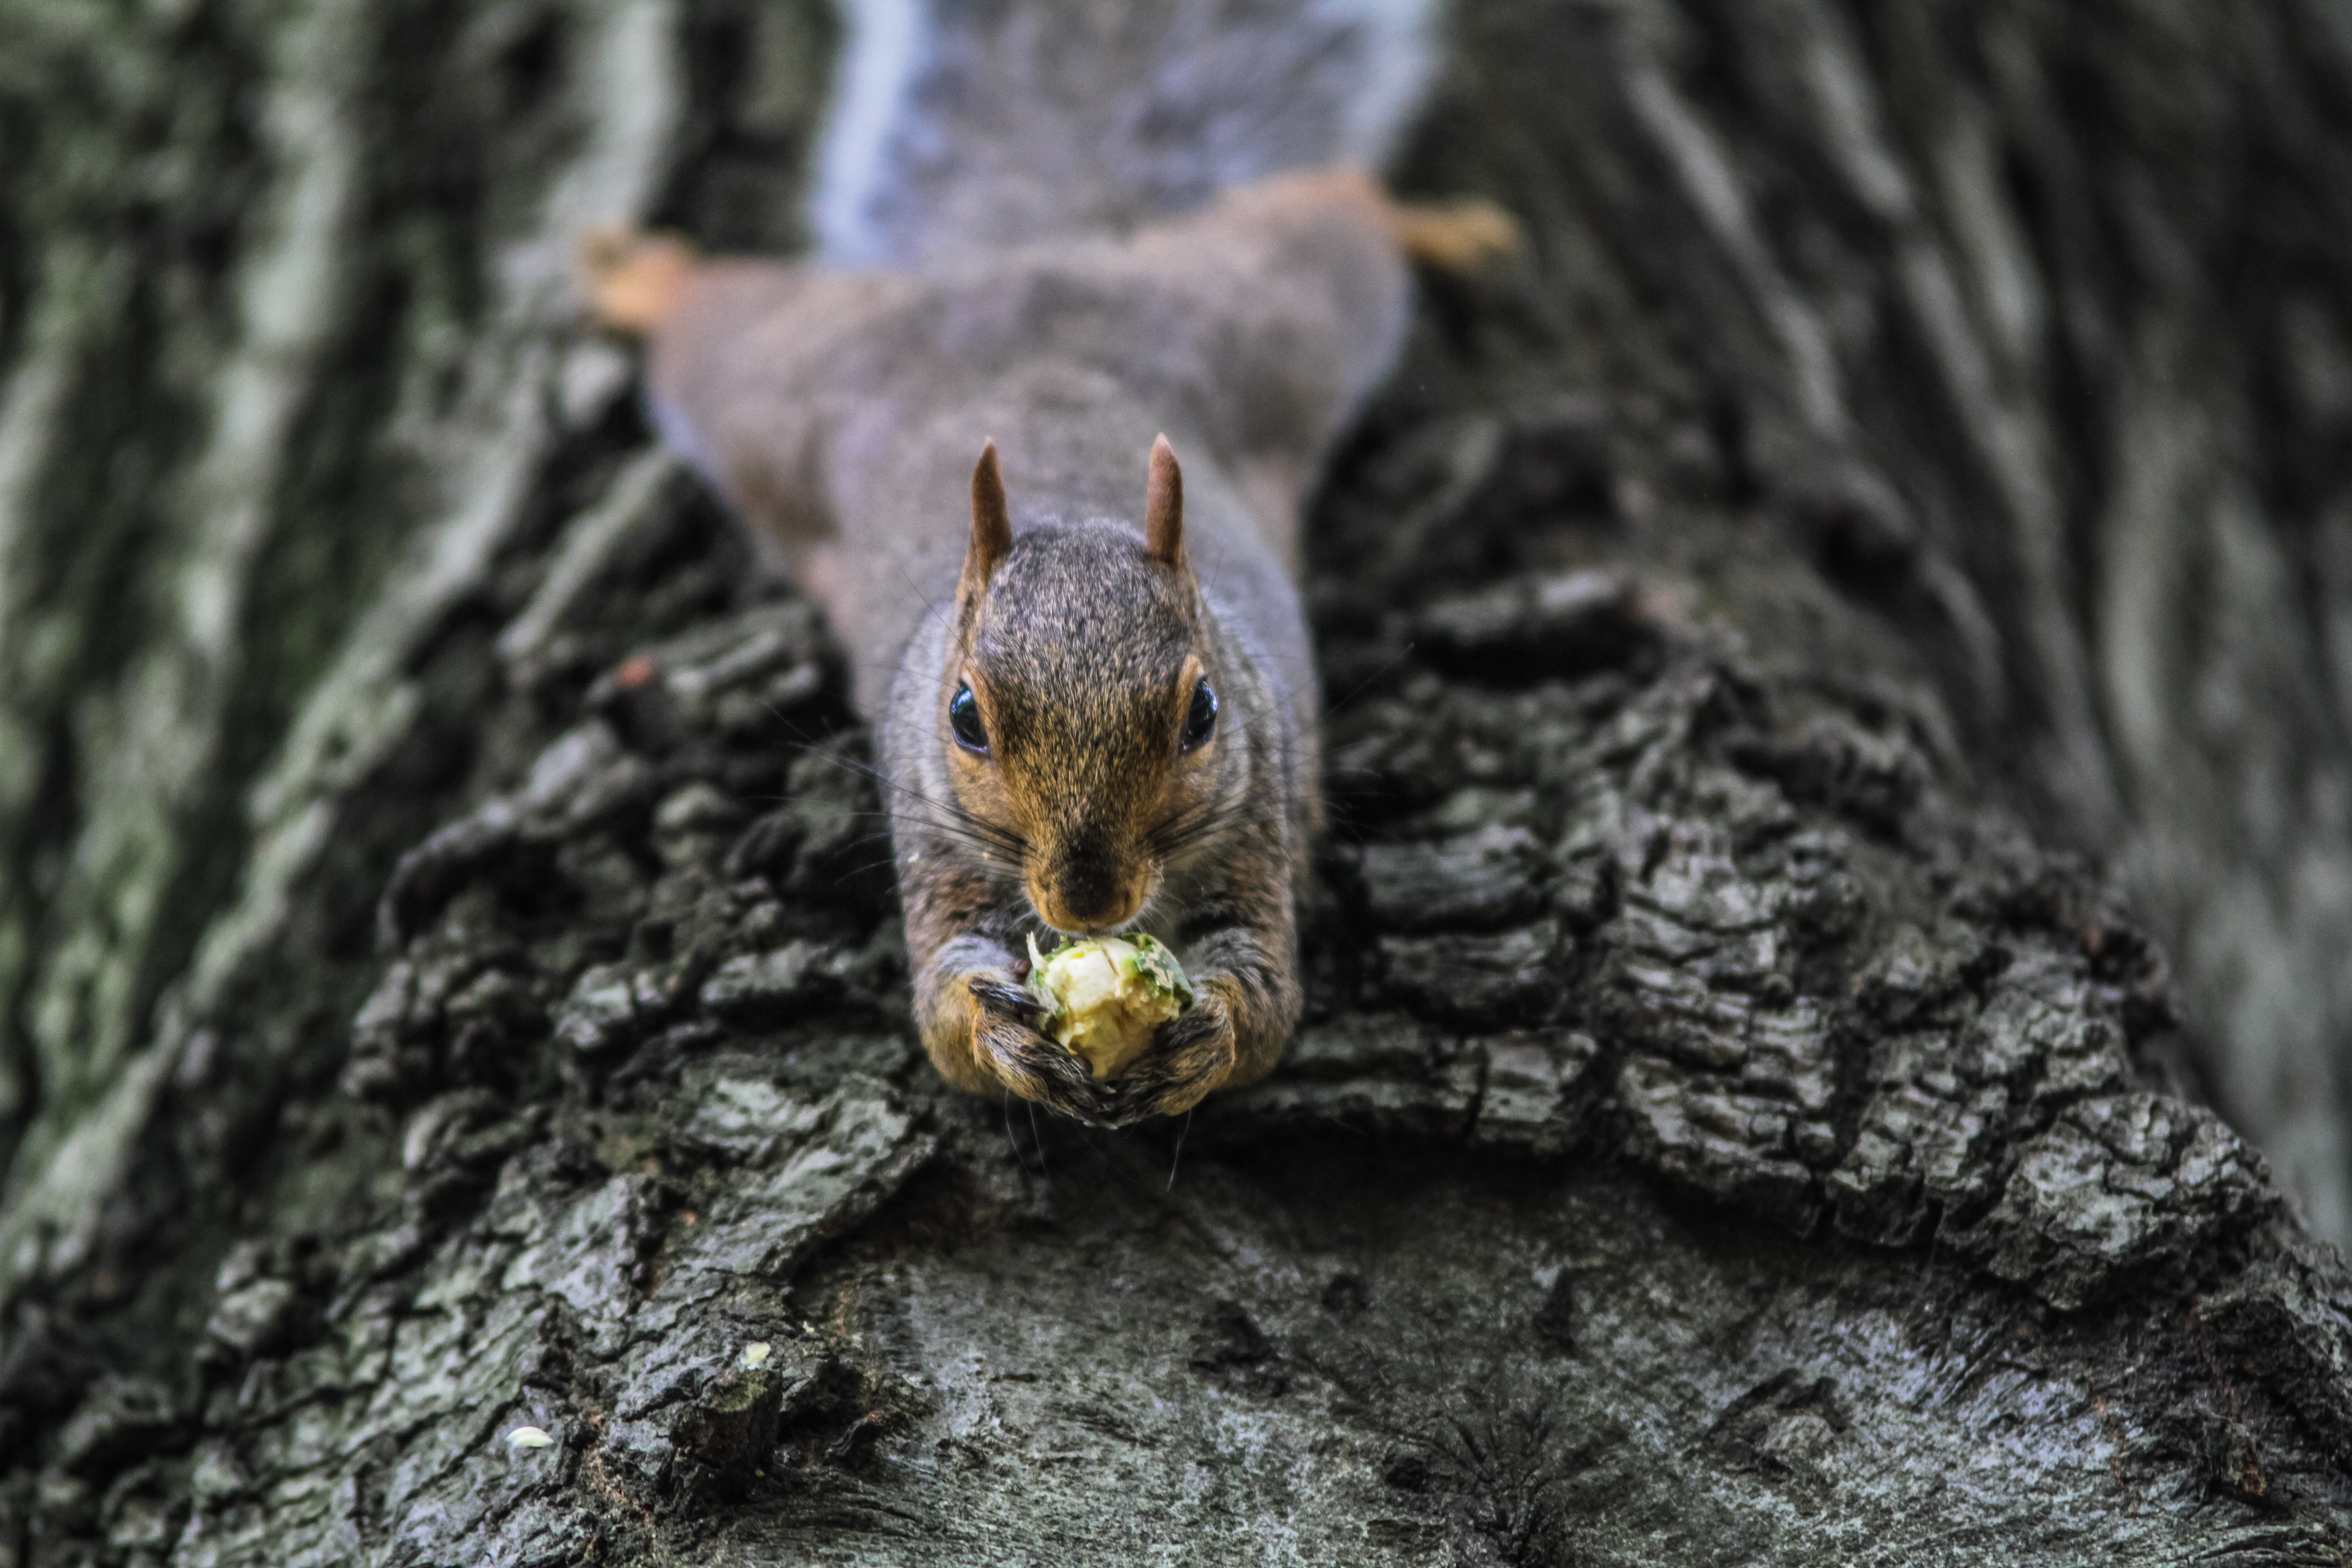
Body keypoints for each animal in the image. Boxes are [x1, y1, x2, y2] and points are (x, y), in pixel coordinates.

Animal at [583, 6, 1505, 1128]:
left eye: (1204, 714)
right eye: (964, 718)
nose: (1088, 903)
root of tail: (1029, 264)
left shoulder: (1257, 817)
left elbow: (1270, 998)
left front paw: (1208, 1033)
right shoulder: (936, 841)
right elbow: (944, 1015)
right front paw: (1000, 1033)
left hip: (1274, 318)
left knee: (1337, 213)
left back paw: (1441, 227)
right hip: (781, 391)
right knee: (712, 324)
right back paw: (642, 276)